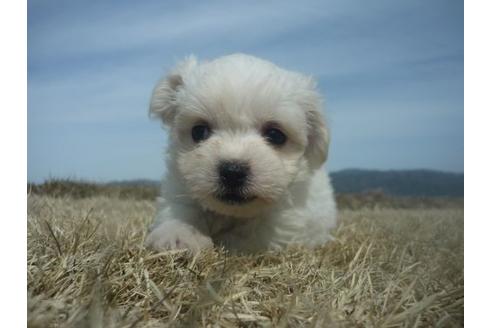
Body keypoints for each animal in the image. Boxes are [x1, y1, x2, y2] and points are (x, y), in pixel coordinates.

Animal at [145, 54, 338, 254]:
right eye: (199, 131)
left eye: (276, 135)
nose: (232, 172)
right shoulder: (179, 186)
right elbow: (180, 209)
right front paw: (178, 235)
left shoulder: (285, 221)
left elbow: (254, 234)